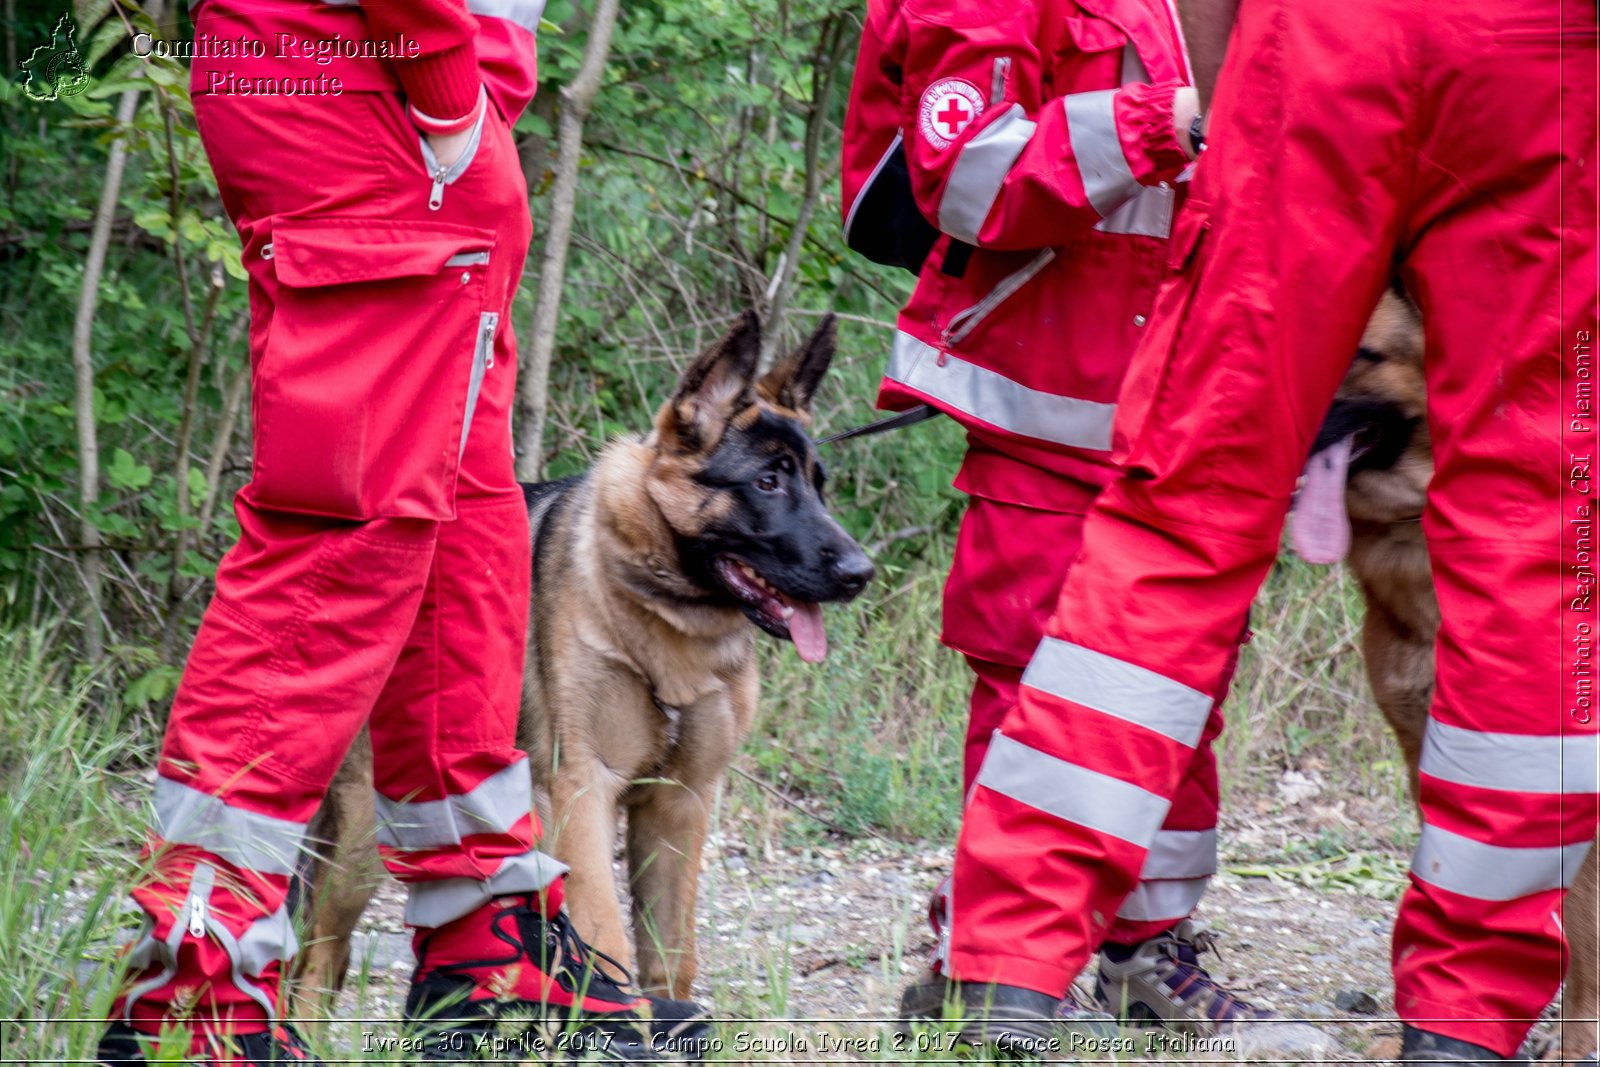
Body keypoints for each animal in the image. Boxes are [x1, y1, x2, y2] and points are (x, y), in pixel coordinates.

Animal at [288, 308, 876, 1004]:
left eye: (818, 487)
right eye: (767, 481)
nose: (861, 573)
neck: (666, 620)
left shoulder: (680, 803)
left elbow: (670, 960)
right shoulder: (583, 791)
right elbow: (609, 944)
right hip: (371, 829)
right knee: (319, 961)